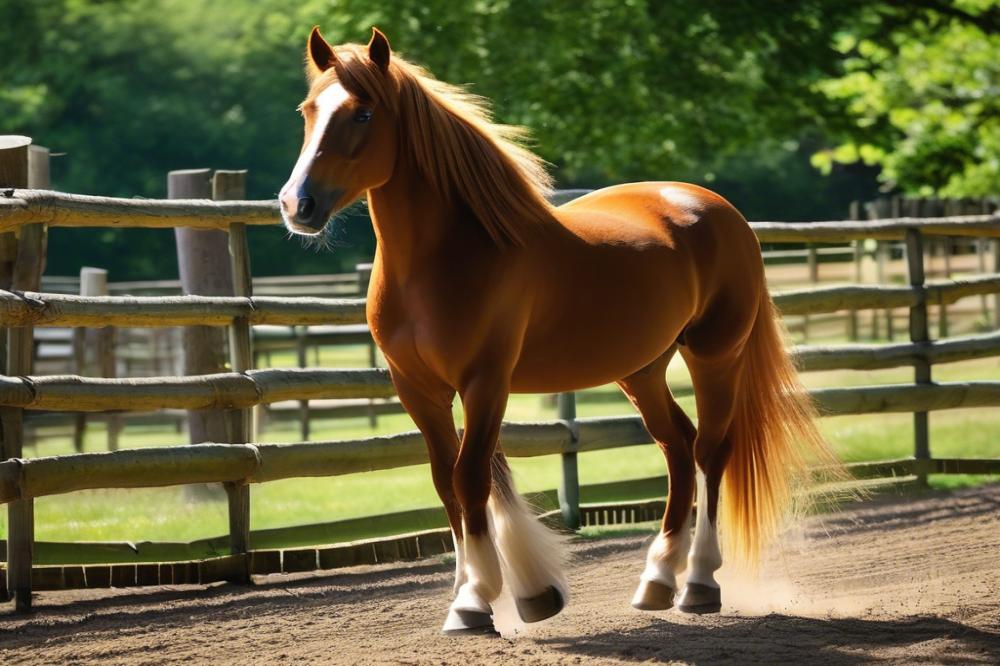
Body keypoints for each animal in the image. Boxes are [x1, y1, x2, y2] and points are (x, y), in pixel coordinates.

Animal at [278, 28, 832, 636]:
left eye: (363, 113)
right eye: (308, 111)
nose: (297, 204)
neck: (446, 257)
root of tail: (716, 208)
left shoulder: (486, 382)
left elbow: (471, 478)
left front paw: (479, 602)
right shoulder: (417, 389)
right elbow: (447, 483)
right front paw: (481, 594)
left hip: (715, 354)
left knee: (712, 449)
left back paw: (699, 584)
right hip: (642, 370)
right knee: (678, 447)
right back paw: (658, 581)